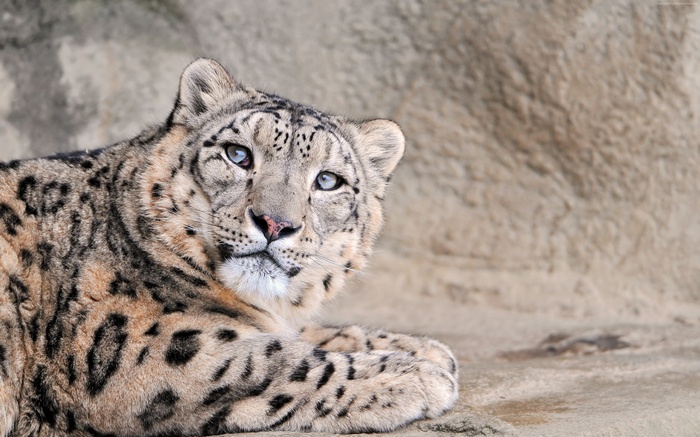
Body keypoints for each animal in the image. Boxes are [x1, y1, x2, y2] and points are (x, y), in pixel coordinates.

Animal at [0, 58, 458, 436]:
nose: (275, 223)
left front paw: (424, 349)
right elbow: (277, 360)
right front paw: (416, 374)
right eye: (238, 154)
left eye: (328, 180)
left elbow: (305, 334)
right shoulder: (140, 350)